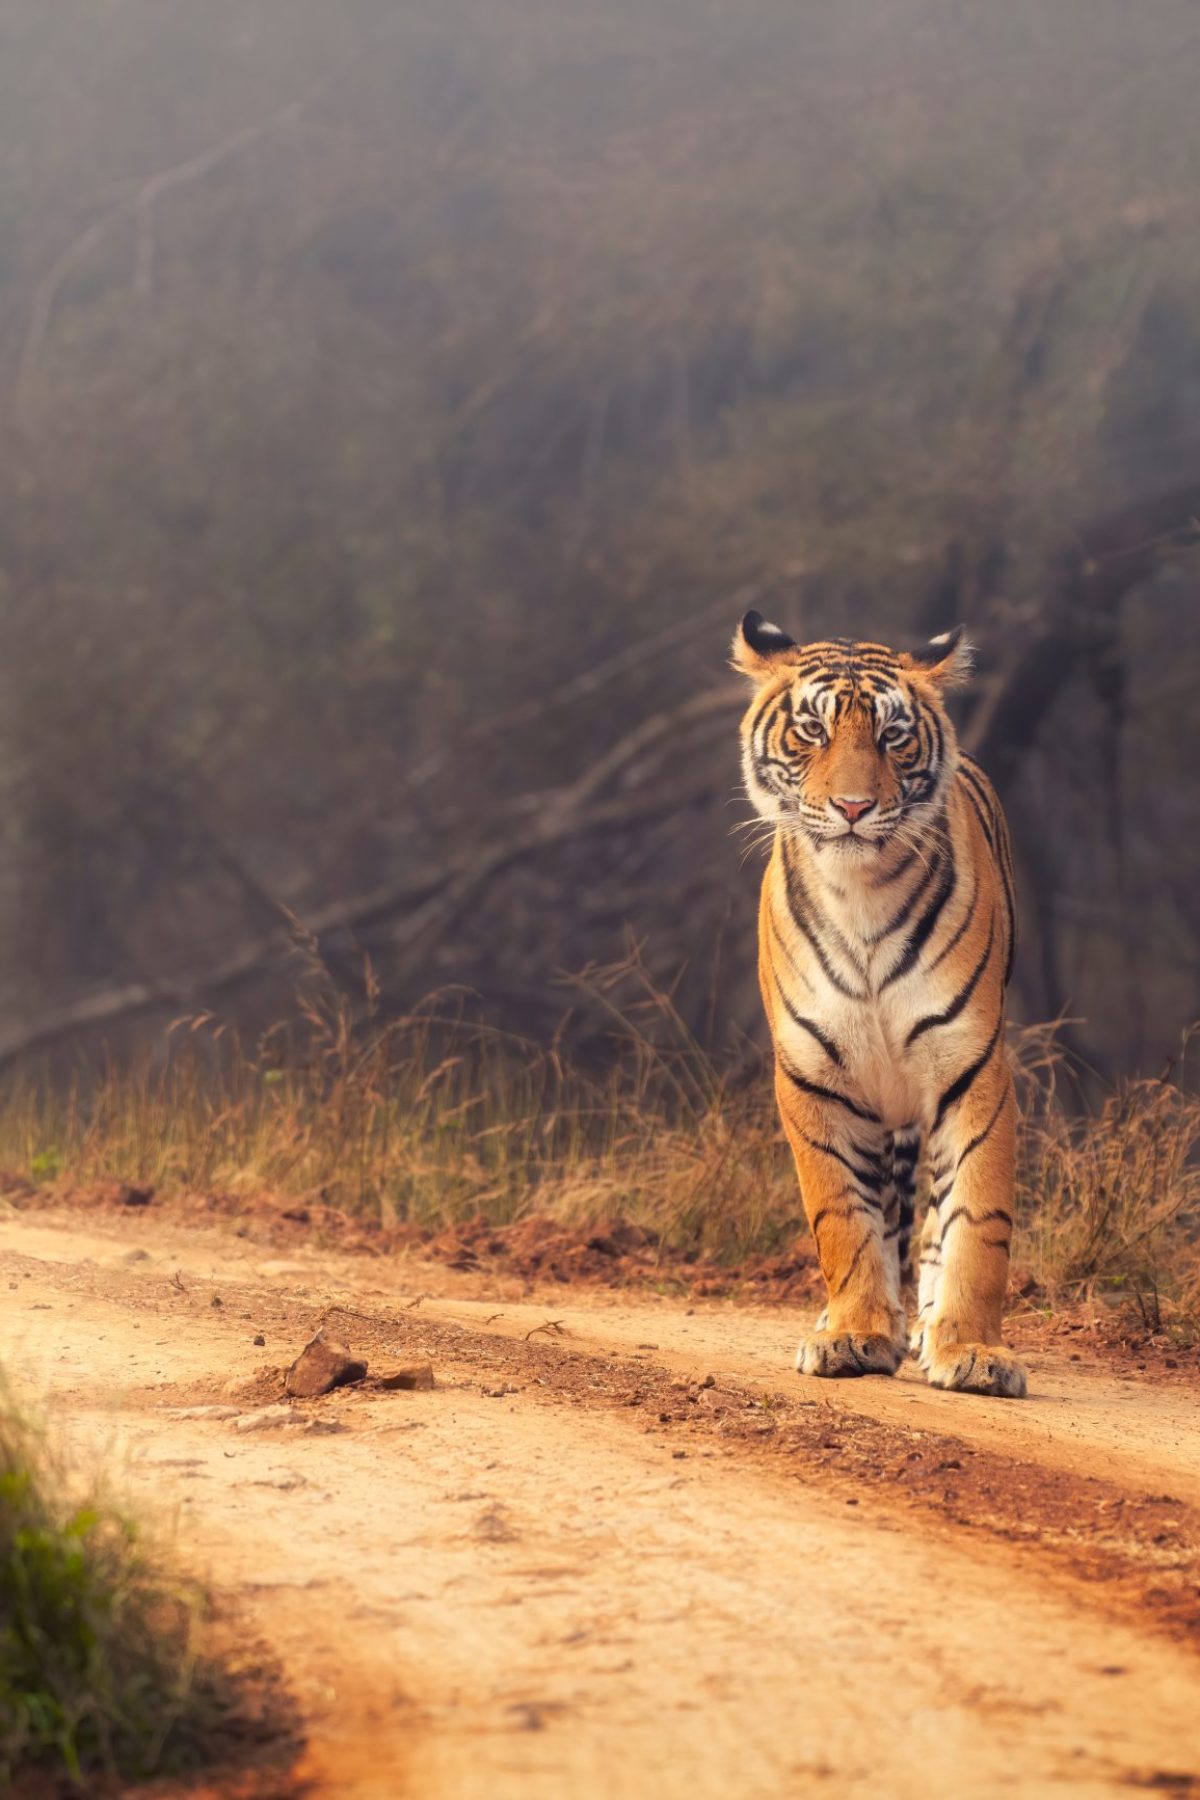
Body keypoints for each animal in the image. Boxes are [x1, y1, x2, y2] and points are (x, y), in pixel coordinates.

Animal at [733, 611, 1026, 1398]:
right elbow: (843, 1215)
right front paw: (854, 1334)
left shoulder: (971, 1067)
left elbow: (975, 1218)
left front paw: (972, 1350)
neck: (859, 893)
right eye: (811, 730)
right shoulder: (813, 1076)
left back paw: (924, 1328)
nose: (854, 808)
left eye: (893, 736)